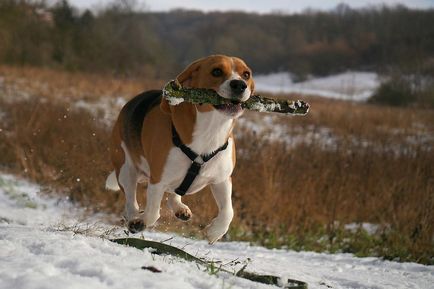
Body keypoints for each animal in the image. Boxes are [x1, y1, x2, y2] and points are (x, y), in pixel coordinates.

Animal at [105, 54, 254, 243]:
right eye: (216, 71)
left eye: (246, 74)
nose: (240, 85)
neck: (211, 129)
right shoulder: (158, 180)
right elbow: (152, 212)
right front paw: (141, 222)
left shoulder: (222, 180)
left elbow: (228, 211)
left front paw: (215, 232)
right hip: (125, 167)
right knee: (131, 201)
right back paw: (134, 219)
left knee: (173, 194)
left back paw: (179, 208)